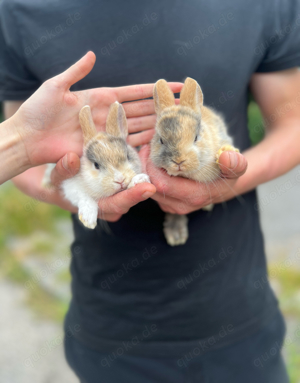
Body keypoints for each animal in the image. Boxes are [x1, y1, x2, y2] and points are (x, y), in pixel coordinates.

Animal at [42, 102, 150, 230]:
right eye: (96, 165)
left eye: (128, 156)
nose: (120, 180)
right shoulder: (71, 186)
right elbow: (84, 197)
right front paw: (88, 219)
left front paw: (140, 179)